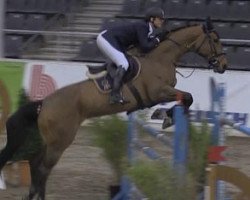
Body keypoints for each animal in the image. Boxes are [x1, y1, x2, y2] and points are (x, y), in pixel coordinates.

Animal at [0, 19, 228, 200]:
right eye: (215, 39)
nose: (224, 65)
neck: (161, 57)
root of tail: (44, 103)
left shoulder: (161, 94)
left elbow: (185, 98)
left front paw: (163, 115)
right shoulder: (159, 92)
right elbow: (186, 97)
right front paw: (166, 117)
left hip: (50, 140)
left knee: (35, 165)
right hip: (60, 141)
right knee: (42, 169)